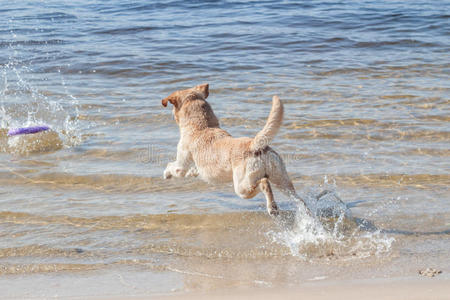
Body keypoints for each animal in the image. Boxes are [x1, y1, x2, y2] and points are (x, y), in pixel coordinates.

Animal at [160, 83, 312, 217]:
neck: (202, 126)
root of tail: (254, 145)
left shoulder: (181, 164)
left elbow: (172, 167)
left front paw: (166, 174)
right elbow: (192, 171)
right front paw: (193, 172)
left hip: (242, 187)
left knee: (264, 183)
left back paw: (272, 208)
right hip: (282, 179)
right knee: (298, 199)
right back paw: (305, 212)